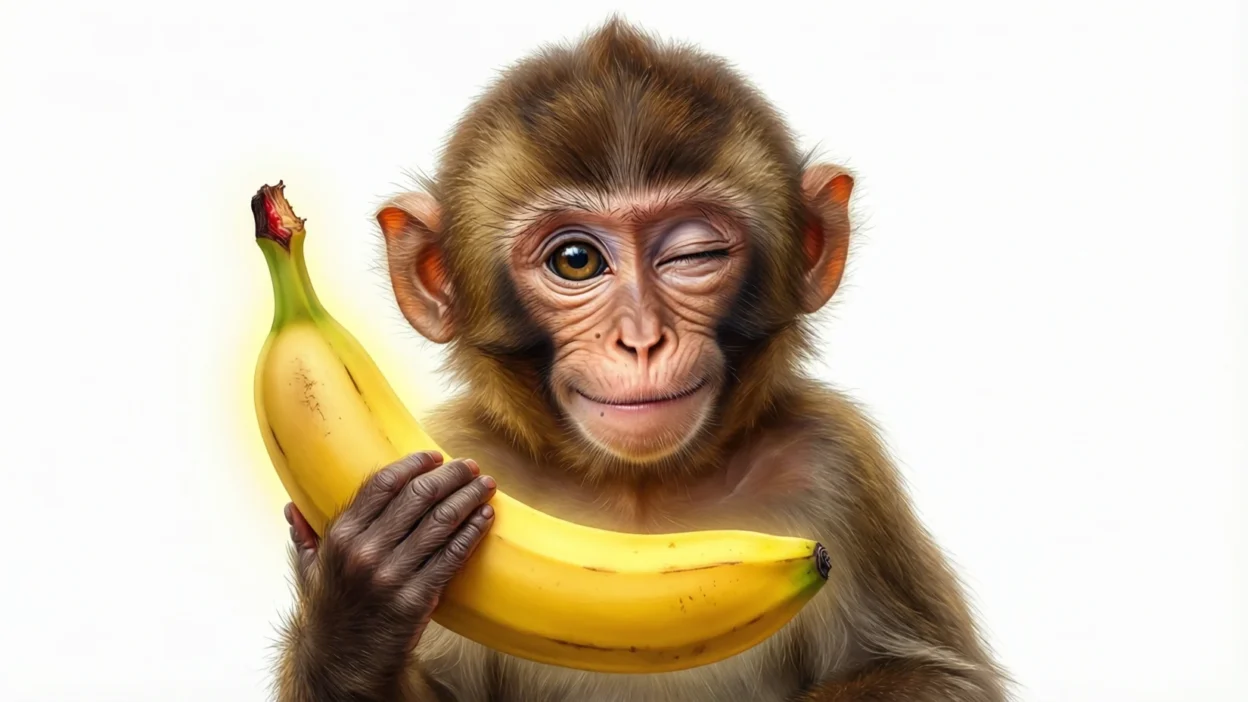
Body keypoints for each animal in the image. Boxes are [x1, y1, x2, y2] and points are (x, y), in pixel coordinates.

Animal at [272, 16, 1010, 702]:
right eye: (576, 261)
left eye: (693, 255)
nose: (641, 338)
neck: (638, 492)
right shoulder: (459, 450)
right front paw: (361, 602)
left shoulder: (838, 463)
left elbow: (932, 675)